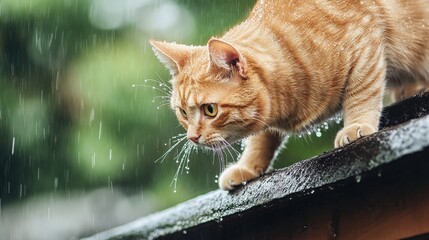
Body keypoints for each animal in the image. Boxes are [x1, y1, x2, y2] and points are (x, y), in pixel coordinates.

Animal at [150, 0, 428, 191]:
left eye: (210, 110)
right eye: (183, 112)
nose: (192, 137)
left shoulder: (365, 44)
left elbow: (362, 91)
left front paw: (356, 125)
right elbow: (260, 138)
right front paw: (247, 167)